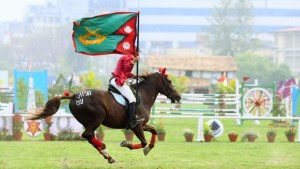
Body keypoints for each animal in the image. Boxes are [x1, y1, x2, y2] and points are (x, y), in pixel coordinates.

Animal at [27, 68, 180, 164]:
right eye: (170, 81)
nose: (178, 96)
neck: (144, 96)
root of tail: (74, 96)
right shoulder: (136, 126)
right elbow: (143, 142)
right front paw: (128, 144)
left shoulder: (141, 124)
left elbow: (153, 130)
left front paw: (149, 148)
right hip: (97, 119)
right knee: (87, 135)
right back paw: (105, 150)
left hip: (88, 121)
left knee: (89, 137)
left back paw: (107, 155)